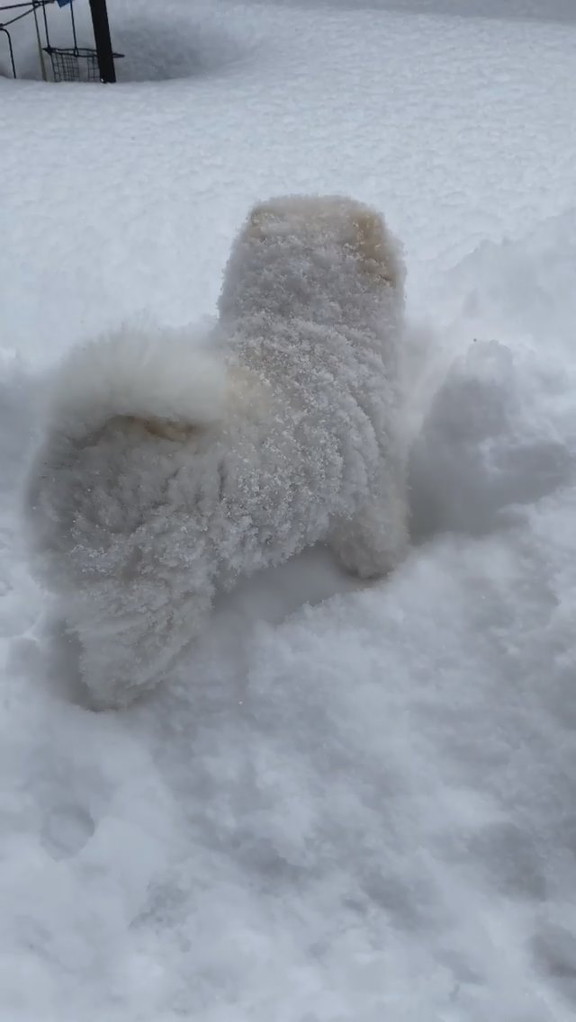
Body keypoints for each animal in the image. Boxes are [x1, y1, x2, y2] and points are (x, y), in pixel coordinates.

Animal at [23, 195, 408, 707]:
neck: (299, 326)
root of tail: (85, 440)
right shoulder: (371, 493)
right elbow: (378, 541)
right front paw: (387, 571)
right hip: (148, 601)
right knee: (120, 675)